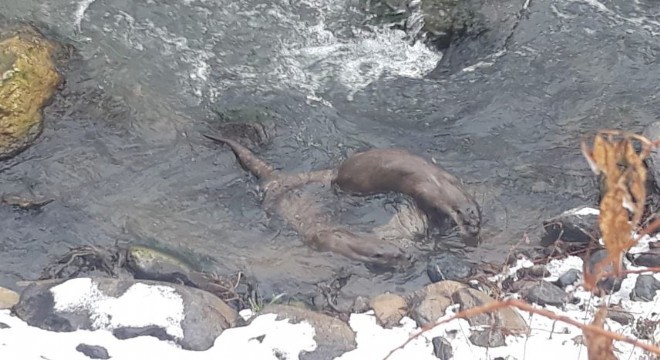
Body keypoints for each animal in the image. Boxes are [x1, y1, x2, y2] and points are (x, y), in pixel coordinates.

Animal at [336, 148, 480, 243]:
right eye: (466, 222)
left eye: (478, 222)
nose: (474, 232)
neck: (440, 186)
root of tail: (339, 172)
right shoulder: (424, 194)